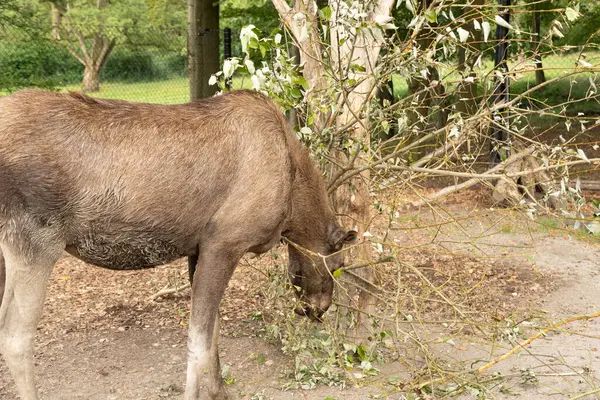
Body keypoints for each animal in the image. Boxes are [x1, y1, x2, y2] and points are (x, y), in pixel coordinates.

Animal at [0, 89, 356, 398]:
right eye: (338, 266)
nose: (318, 310)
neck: (293, 207)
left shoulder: (198, 250)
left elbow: (213, 332)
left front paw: (219, 390)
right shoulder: (224, 242)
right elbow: (198, 343)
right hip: (36, 243)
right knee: (16, 338)